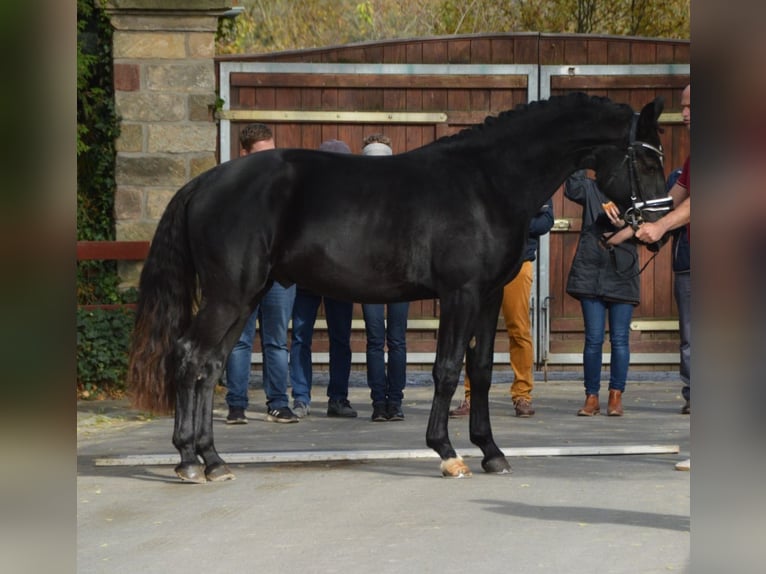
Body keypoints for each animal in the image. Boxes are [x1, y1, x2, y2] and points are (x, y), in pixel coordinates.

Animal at [129, 94, 668, 486]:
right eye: (647, 160)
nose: (656, 230)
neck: (487, 181)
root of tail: (205, 183)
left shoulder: (489, 296)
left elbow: (479, 371)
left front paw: (491, 451)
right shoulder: (460, 293)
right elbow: (447, 370)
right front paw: (447, 452)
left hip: (245, 298)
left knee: (209, 364)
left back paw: (208, 458)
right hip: (230, 296)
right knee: (192, 357)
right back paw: (192, 459)